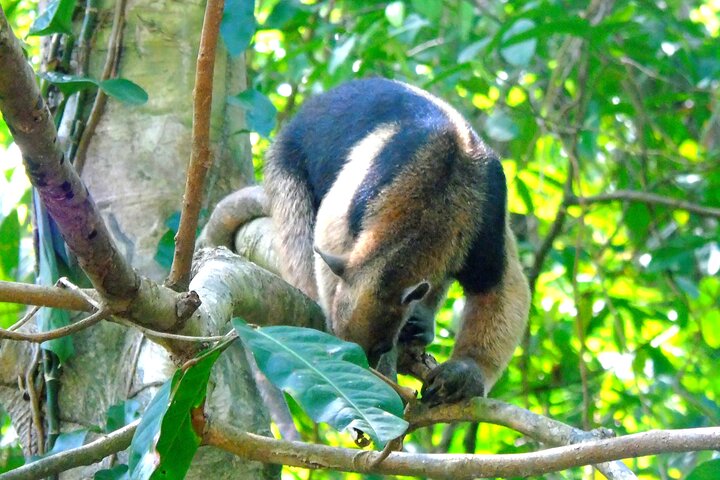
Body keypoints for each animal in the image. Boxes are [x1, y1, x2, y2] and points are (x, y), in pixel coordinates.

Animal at [264, 78, 530, 405]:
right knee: (297, 231)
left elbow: (500, 288)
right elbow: (327, 238)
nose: (365, 370)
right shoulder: (353, 202)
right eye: (339, 332)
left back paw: (422, 323)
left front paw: (461, 376)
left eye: (380, 346)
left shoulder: (485, 224)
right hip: (287, 163)